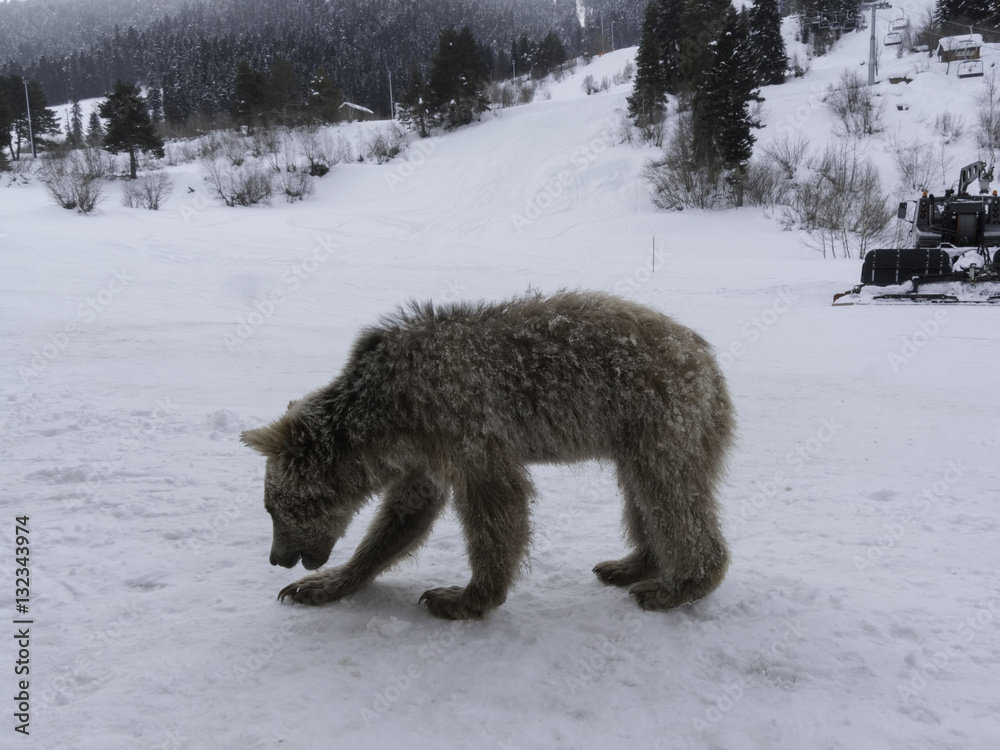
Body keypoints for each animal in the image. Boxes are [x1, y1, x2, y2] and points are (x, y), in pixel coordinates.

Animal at [240, 290, 735, 620]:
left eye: (274, 508)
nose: (277, 558)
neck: (387, 415)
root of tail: (705, 354)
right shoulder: (423, 453)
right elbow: (402, 519)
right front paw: (323, 584)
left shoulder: (458, 419)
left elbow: (496, 501)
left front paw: (461, 596)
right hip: (634, 435)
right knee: (642, 498)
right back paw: (630, 563)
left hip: (660, 418)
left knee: (670, 495)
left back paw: (679, 584)